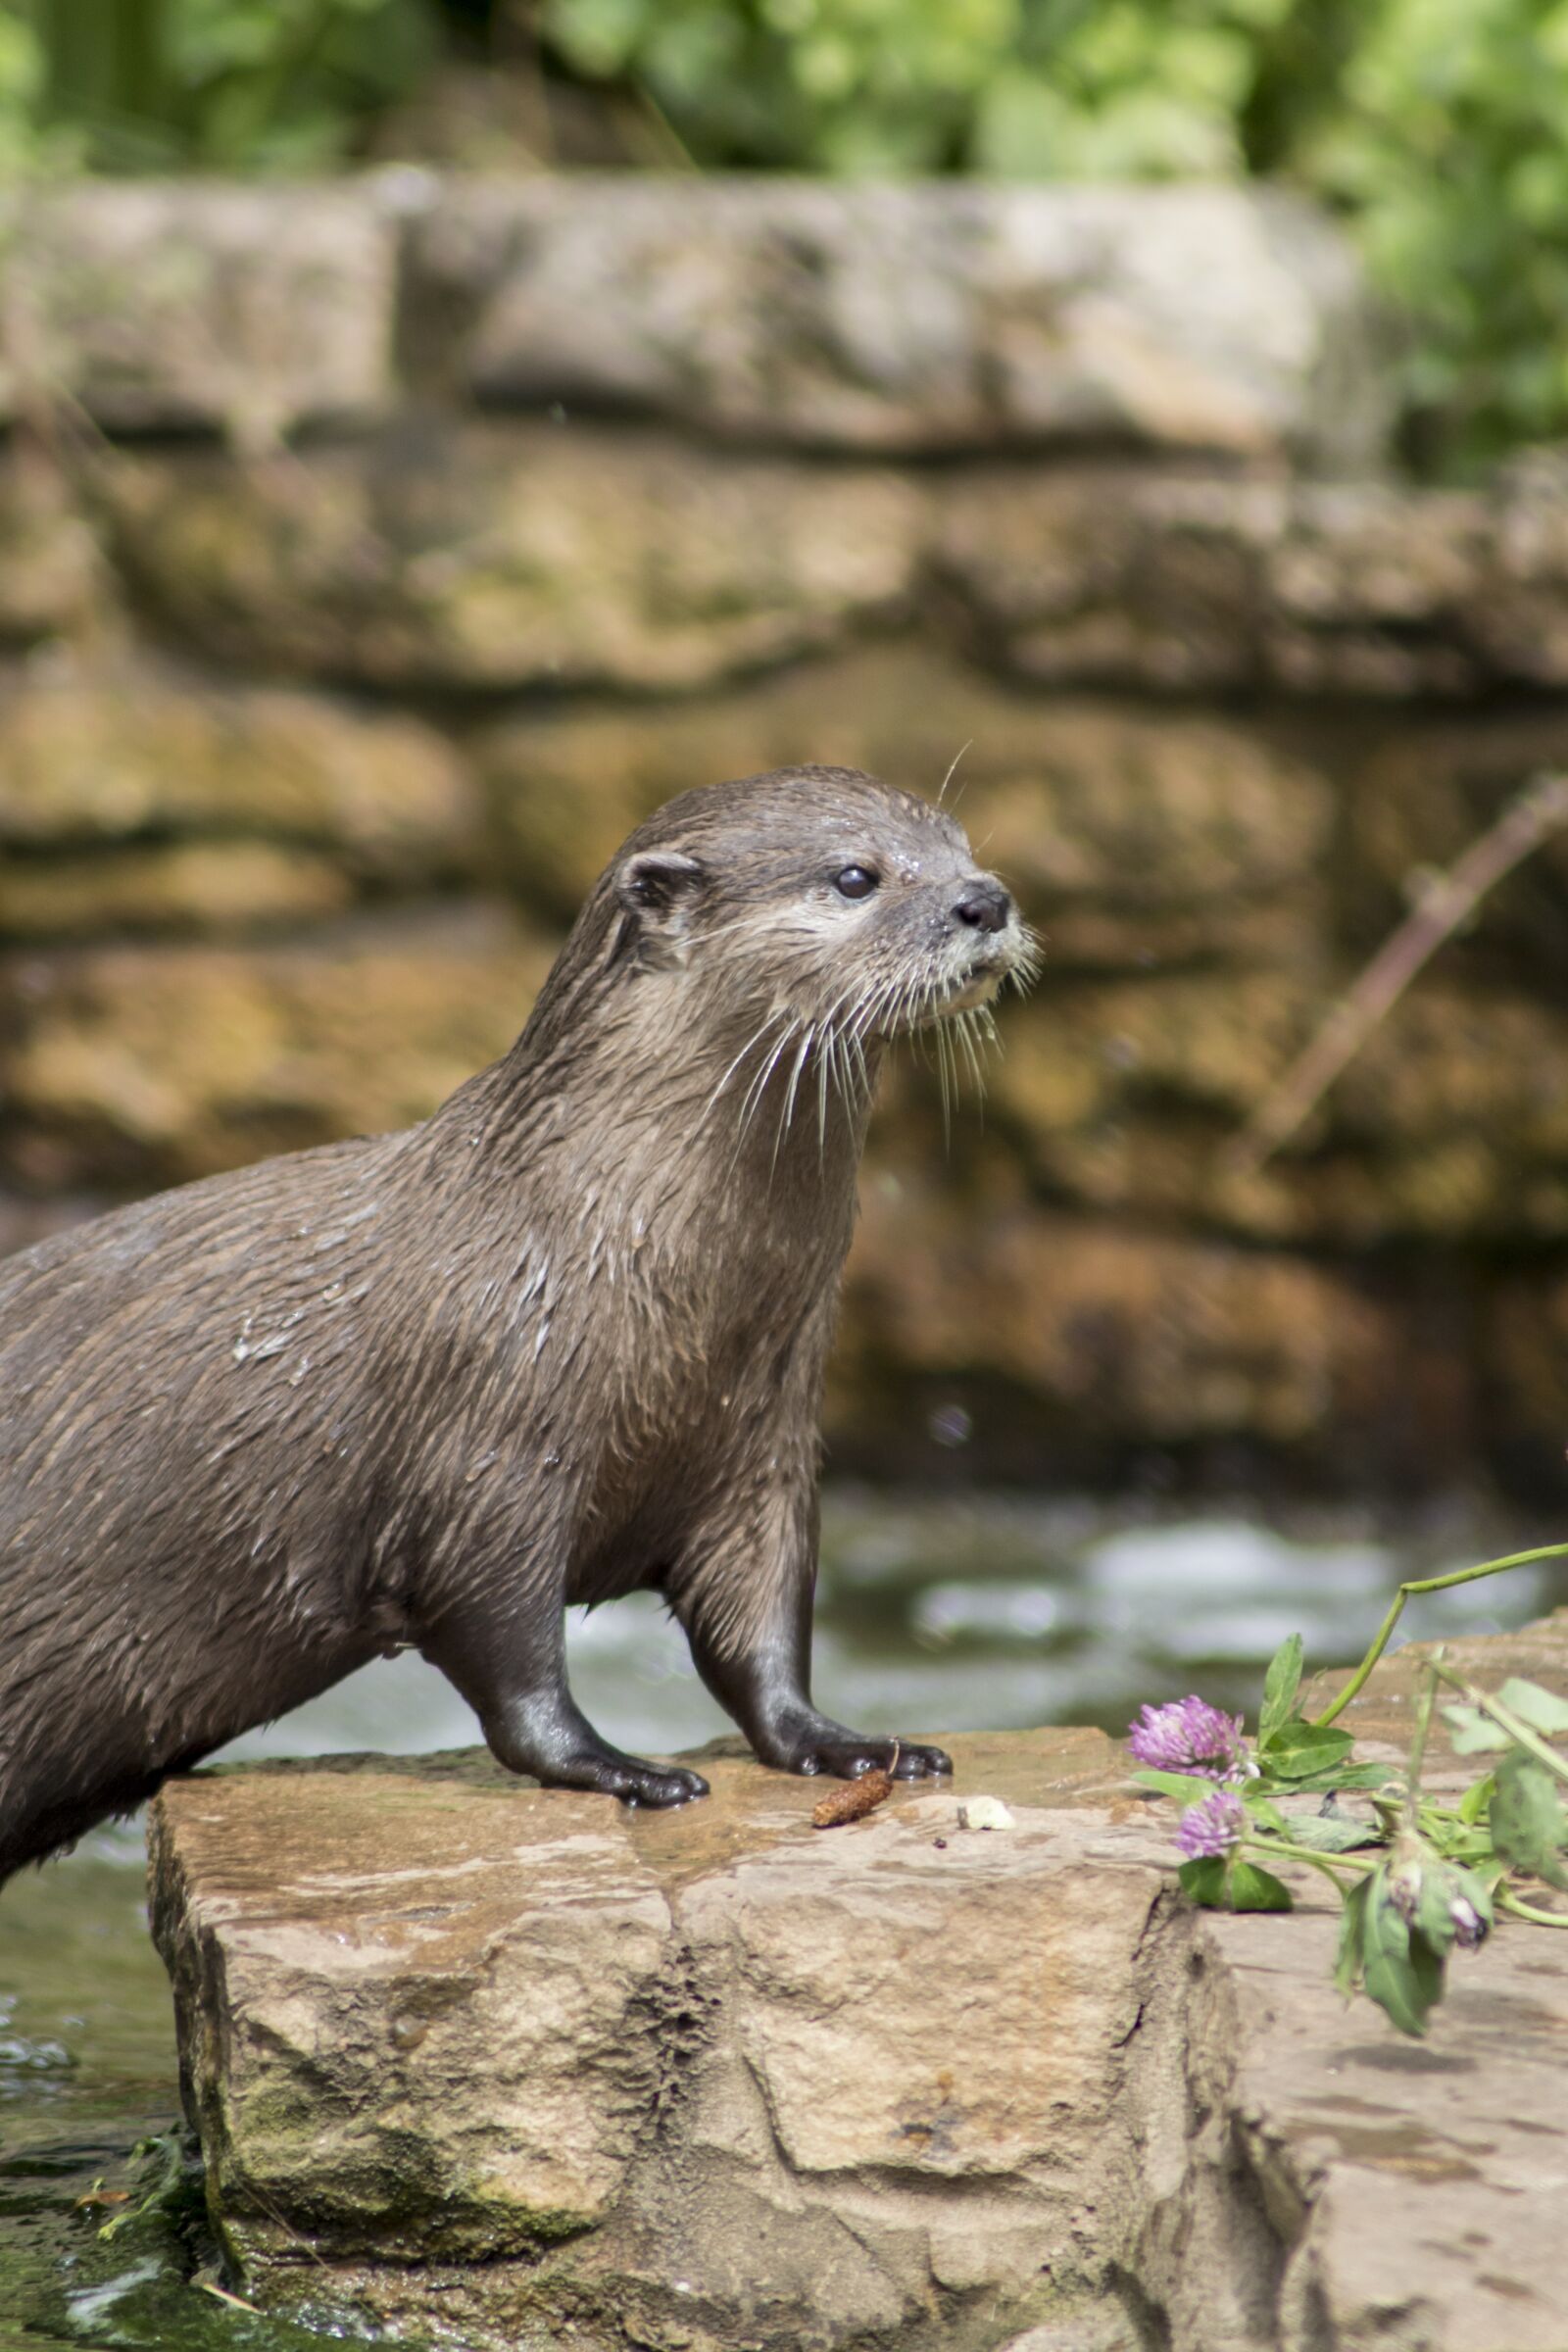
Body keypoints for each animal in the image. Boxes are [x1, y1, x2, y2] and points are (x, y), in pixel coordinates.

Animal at [0, 767, 1032, 1878]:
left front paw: (847, 1744)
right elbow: (508, 1651)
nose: (985, 900)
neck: (593, 1249)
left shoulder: (762, 1441)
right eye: (854, 877)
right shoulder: (488, 1440)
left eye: (963, 844)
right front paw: (620, 1771)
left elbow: (760, 1622)